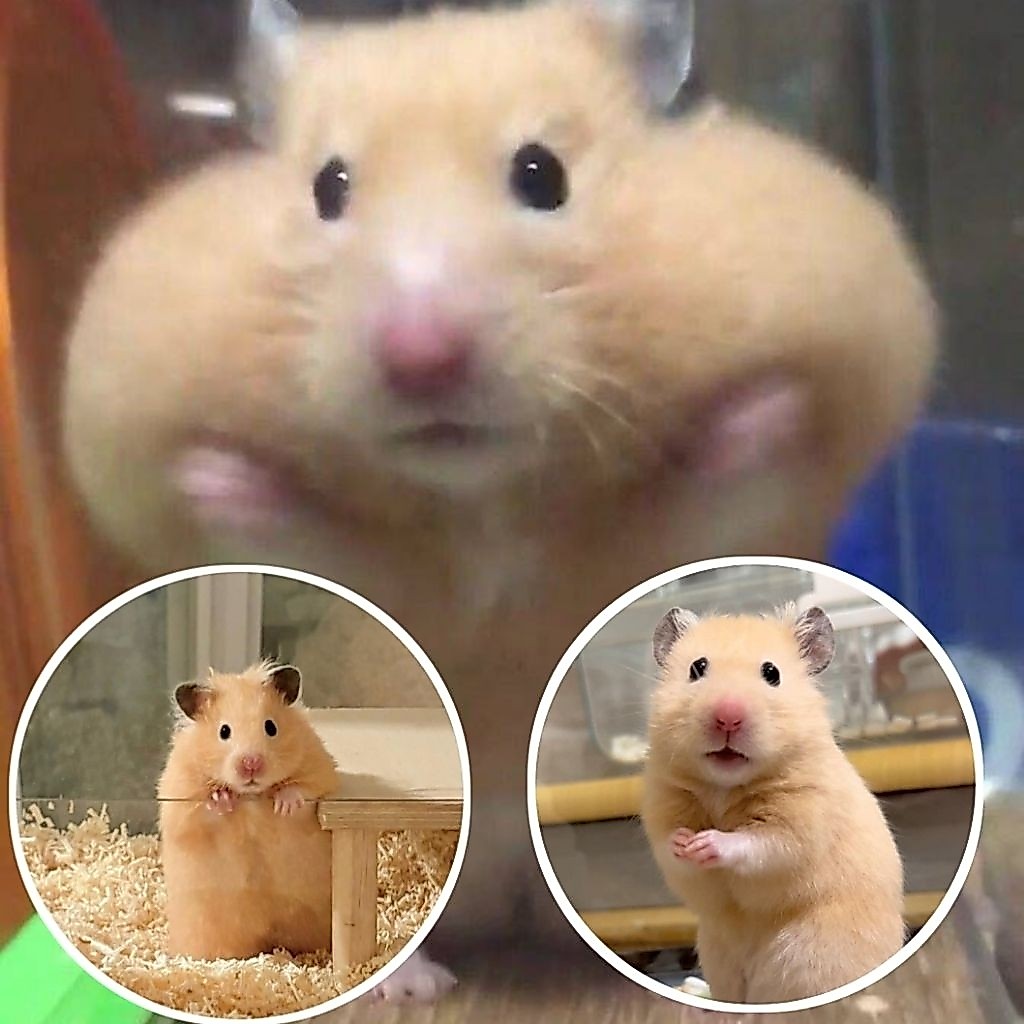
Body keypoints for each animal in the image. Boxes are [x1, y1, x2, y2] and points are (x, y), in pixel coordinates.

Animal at [158, 661, 340, 959]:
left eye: (271, 727)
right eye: (224, 731)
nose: (251, 764)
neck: (251, 796)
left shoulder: (320, 770)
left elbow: (304, 790)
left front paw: (283, 804)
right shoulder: (179, 800)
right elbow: (200, 811)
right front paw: (223, 799)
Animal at [641, 606, 905, 1004]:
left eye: (772, 673)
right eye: (697, 668)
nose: (727, 716)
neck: (724, 787)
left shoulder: (800, 823)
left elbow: (760, 844)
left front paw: (707, 843)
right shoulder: (661, 808)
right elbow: (668, 847)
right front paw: (684, 841)